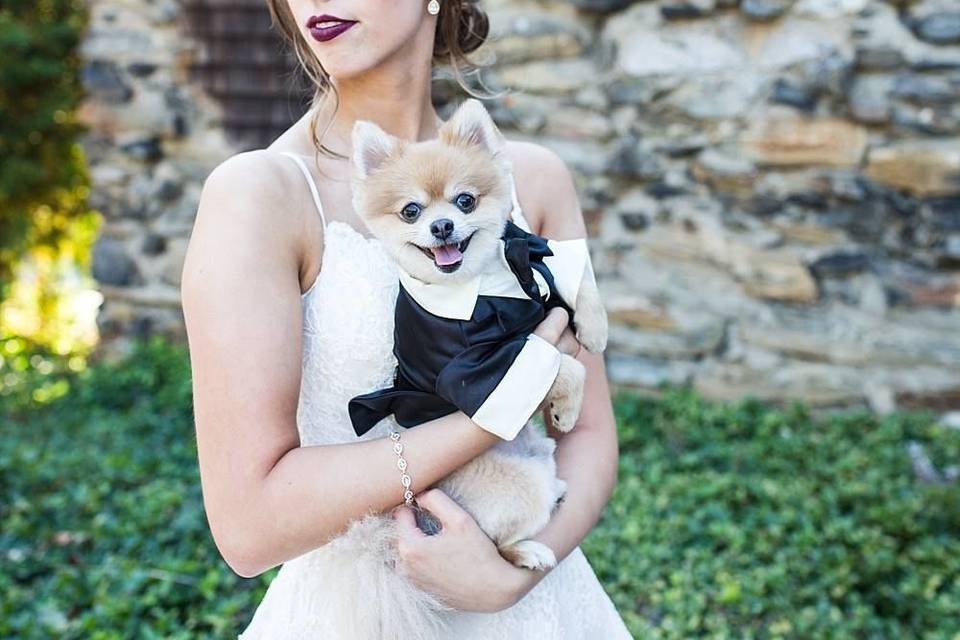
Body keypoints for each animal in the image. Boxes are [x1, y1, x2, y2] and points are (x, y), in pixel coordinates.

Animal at [318, 96, 612, 640]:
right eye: (411, 211)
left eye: (465, 202)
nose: (441, 226)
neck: (488, 280)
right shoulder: (473, 366)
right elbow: (563, 367)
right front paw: (565, 405)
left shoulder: (533, 253)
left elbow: (575, 276)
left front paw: (595, 328)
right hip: (516, 489)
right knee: (498, 546)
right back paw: (529, 551)